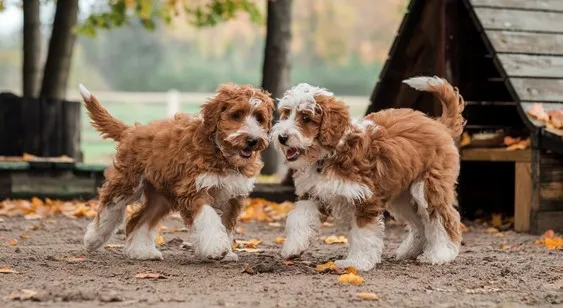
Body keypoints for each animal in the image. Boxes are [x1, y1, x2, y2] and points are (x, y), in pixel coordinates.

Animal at [80, 85, 274, 262]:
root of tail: (132, 130)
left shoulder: (233, 197)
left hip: (161, 197)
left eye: (259, 118)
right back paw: (93, 239)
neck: (221, 153)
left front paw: (226, 252)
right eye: (236, 115)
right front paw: (217, 247)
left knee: (139, 220)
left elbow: (226, 225)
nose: (252, 140)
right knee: (110, 206)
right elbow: (209, 218)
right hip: (128, 181)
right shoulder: (193, 189)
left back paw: (142, 251)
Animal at [274, 77, 468, 270]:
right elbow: (298, 218)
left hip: (428, 187)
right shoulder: (313, 193)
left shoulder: (365, 197)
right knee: (421, 223)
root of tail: (439, 124)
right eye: (286, 113)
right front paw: (293, 247)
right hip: (403, 197)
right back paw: (411, 251)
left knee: (444, 219)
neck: (331, 152)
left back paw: (439, 254)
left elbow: (363, 234)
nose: (281, 138)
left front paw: (356, 263)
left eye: (306, 118)